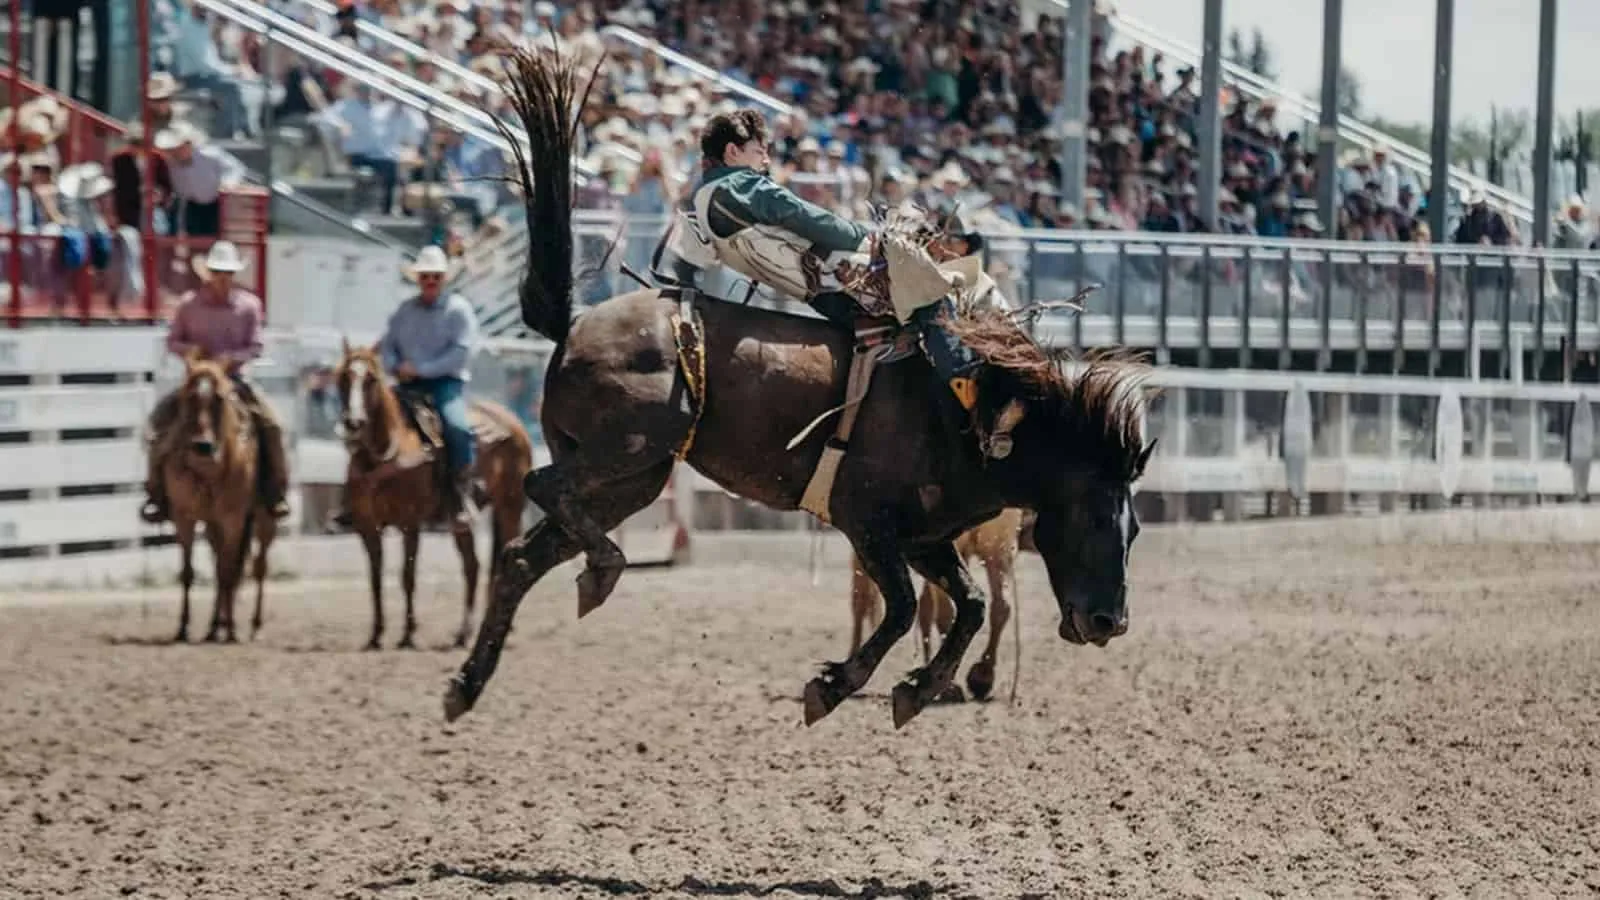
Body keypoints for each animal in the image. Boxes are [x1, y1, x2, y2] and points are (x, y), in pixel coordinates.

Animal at [155, 348, 280, 643]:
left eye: (220, 399)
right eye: (188, 396)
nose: (203, 446)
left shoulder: (233, 519)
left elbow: (228, 572)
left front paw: (232, 629)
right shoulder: (184, 517)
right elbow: (189, 572)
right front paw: (183, 627)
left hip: (264, 520)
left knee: (258, 567)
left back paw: (252, 626)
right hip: (213, 525)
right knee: (220, 567)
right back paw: (214, 627)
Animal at [331, 340, 533, 650]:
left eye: (371, 379)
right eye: (343, 377)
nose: (354, 422)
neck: (384, 456)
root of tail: (514, 423)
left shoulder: (409, 523)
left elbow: (407, 576)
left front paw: (408, 635)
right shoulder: (367, 526)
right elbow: (375, 578)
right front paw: (376, 635)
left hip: (510, 508)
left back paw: (494, 629)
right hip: (461, 522)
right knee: (472, 566)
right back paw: (465, 632)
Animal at [849, 507, 1025, 703]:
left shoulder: (998, 540)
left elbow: (1001, 607)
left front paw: (983, 675)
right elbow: (946, 612)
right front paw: (949, 685)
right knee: (861, 598)